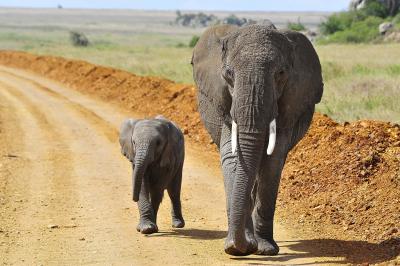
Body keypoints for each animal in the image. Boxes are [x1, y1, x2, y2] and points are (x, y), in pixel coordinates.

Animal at [191, 23, 324, 256]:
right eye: (228, 74)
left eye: (280, 74)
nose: (242, 247)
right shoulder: (226, 102)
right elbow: (231, 157)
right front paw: (236, 248)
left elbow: (273, 162)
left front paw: (265, 249)